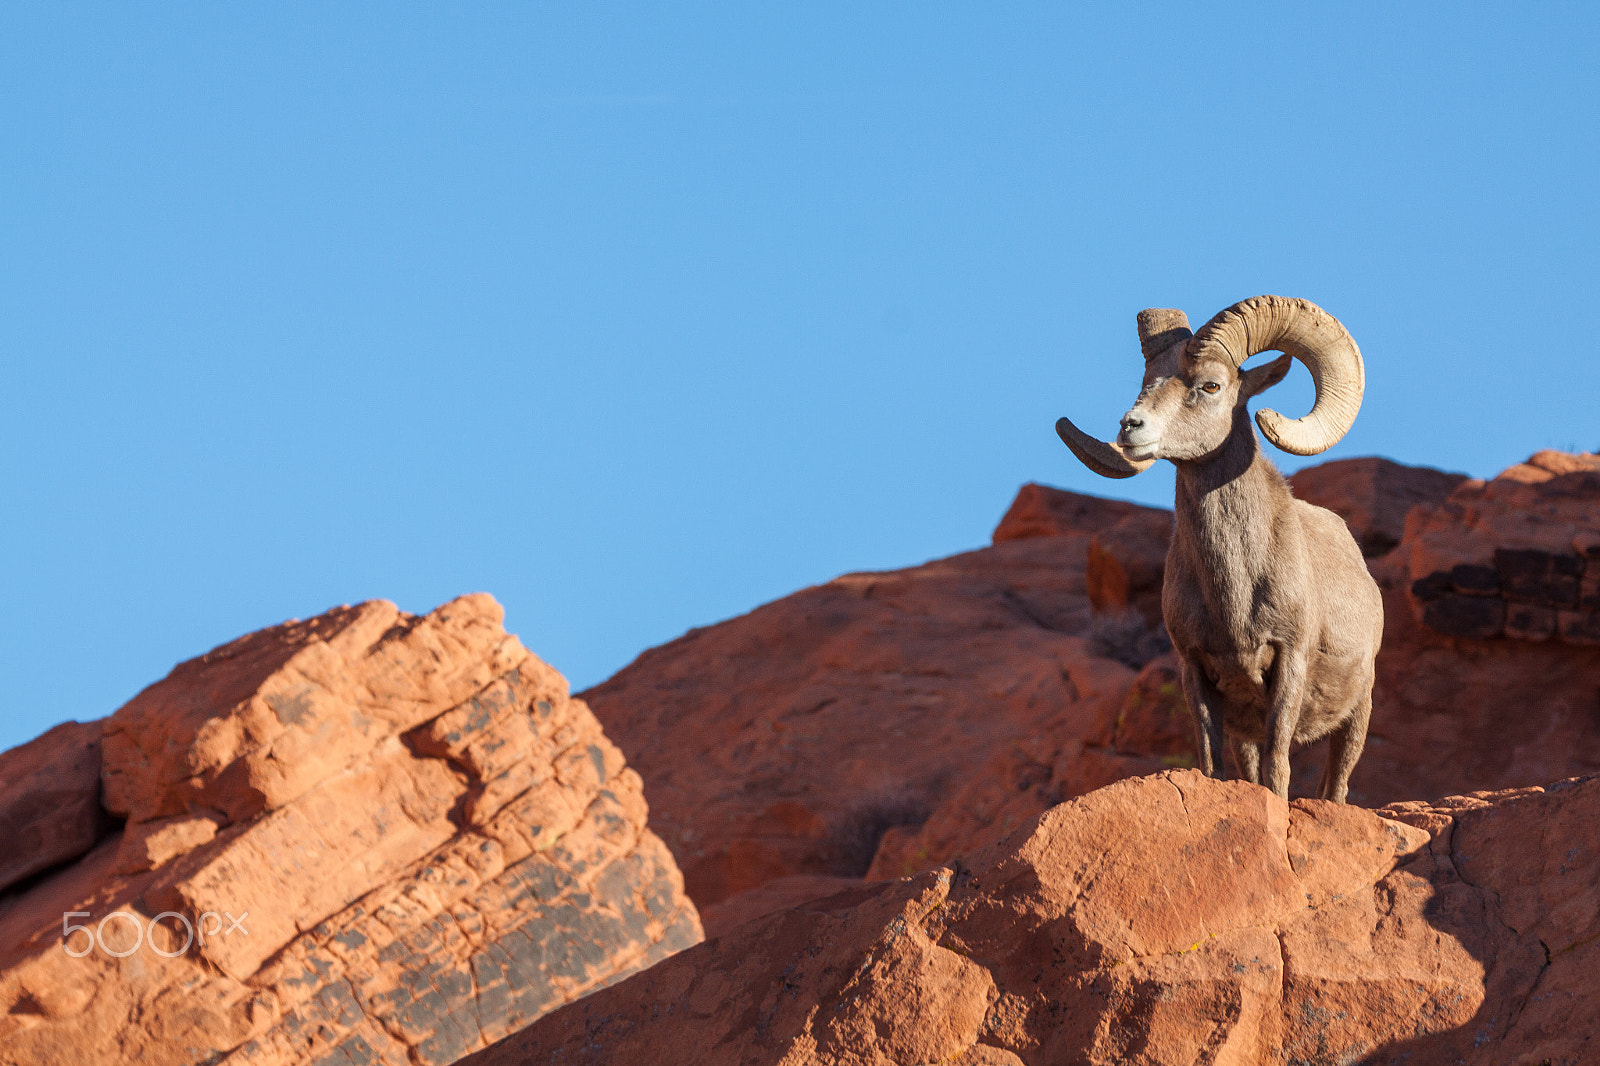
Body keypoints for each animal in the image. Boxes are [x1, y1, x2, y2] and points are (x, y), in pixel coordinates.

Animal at [1055, 295, 1383, 803]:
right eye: (1146, 383)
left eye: (1211, 385)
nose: (1130, 427)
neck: (1235, 593)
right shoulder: (1197, 671)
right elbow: (1213, 766)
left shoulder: (1289, 664)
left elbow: (1278, 767)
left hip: (1356, 716)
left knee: (1337, 786)